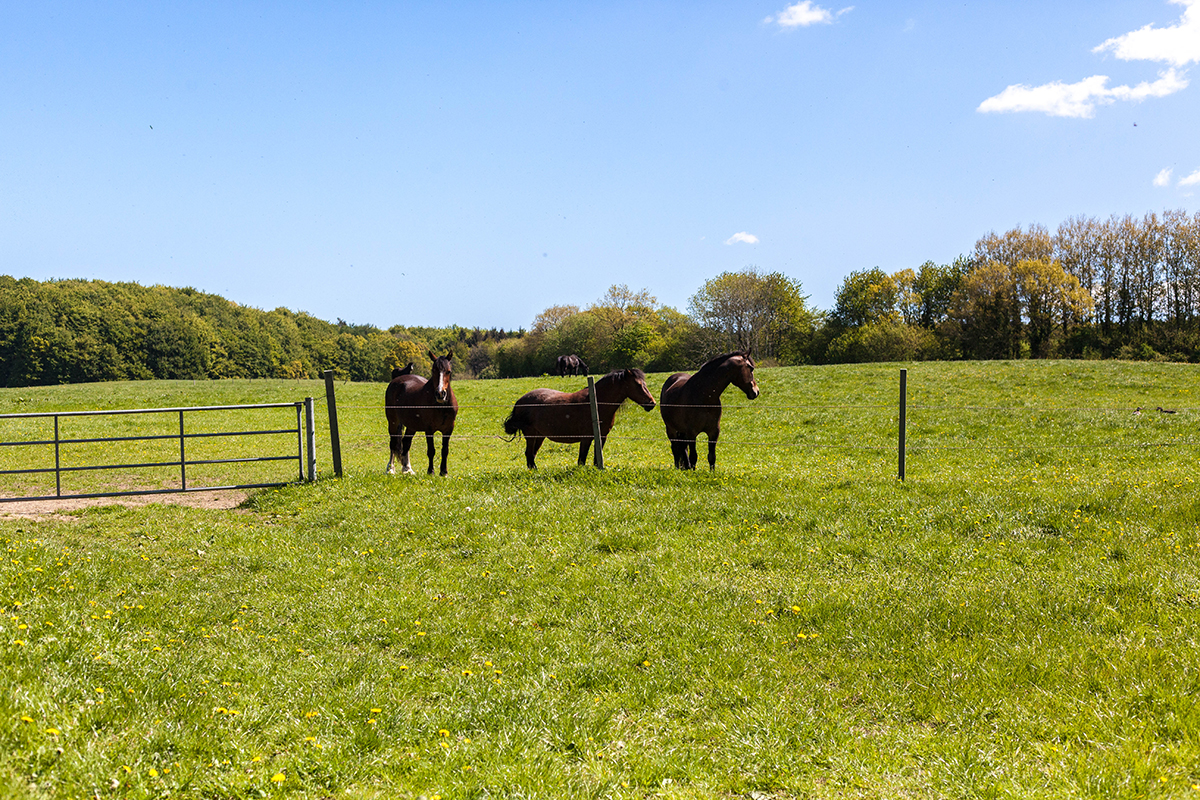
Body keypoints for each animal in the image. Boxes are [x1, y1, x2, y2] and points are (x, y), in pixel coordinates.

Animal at [504, 369, 662, 470]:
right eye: (638, 385)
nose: (652, 403)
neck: (595, 404)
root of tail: (520, 401)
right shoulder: (586, 438)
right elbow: (581, 460)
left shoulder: (602, 437)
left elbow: (597, 459)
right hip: (531, 435)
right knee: (529, 454)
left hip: (540, 436)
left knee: (531, 455)